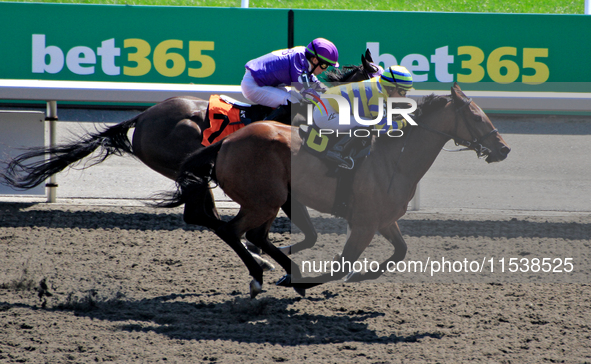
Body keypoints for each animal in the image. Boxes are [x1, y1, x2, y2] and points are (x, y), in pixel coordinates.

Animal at [164, 83, 512, 298]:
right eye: (476, 116)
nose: (504, 149)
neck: (394, 160)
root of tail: (226, 143)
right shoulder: (363, 224)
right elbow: (341, 264)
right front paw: (300, 281)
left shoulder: (384, 220)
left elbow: (400, 252)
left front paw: (360, 276)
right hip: (265, 201)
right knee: (232, 231)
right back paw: (261, 274)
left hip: (272, 200)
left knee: (253, 235)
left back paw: (276, 267)